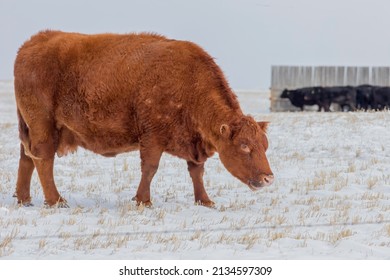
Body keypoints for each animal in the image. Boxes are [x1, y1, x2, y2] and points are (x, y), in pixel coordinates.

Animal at [13, 30, 272, 208]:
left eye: (265, 145)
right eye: (244, 146)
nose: (268, 178)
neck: (188, 82)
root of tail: (31, 44)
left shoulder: (193, 142)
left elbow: (196, 171)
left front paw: (205, 201)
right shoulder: (152, 137)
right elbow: (150, 168)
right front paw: (143, 201)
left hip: (31, 128)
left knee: (26, 158)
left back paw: (24, 199)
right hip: (44, 127)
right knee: (43, 160)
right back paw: (56, 201)